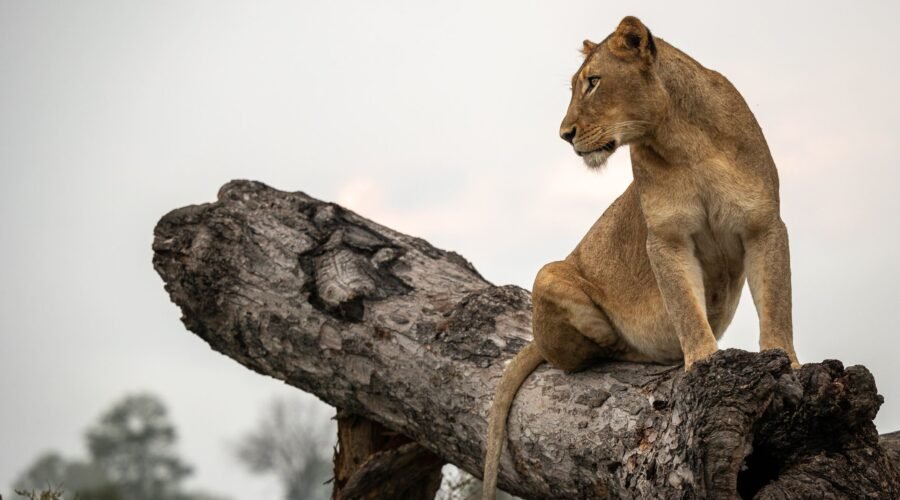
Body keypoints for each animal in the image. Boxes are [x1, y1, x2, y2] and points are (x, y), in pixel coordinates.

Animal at [481, 16, 800, 498]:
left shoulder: (764, 225)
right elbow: (686, 310)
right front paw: (702, 363)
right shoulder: (666, 239)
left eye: (593, 82)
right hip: (548, 273)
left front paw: (790, 364)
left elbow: (777, 304)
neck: (683, 140)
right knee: (594, 350)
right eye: (576, 85)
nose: (564, 135)